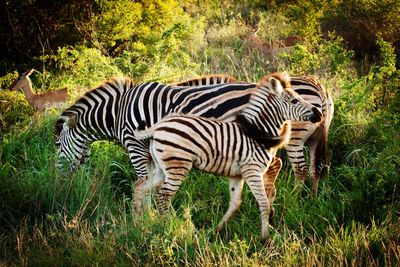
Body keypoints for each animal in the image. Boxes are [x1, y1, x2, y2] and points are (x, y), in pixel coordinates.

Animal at [175, 74, 334, 196]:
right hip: (316, 137)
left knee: (301, 169)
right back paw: (311, 200)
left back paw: (295, 199)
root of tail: (319, 88)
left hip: (295, 137)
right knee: (315, 169)